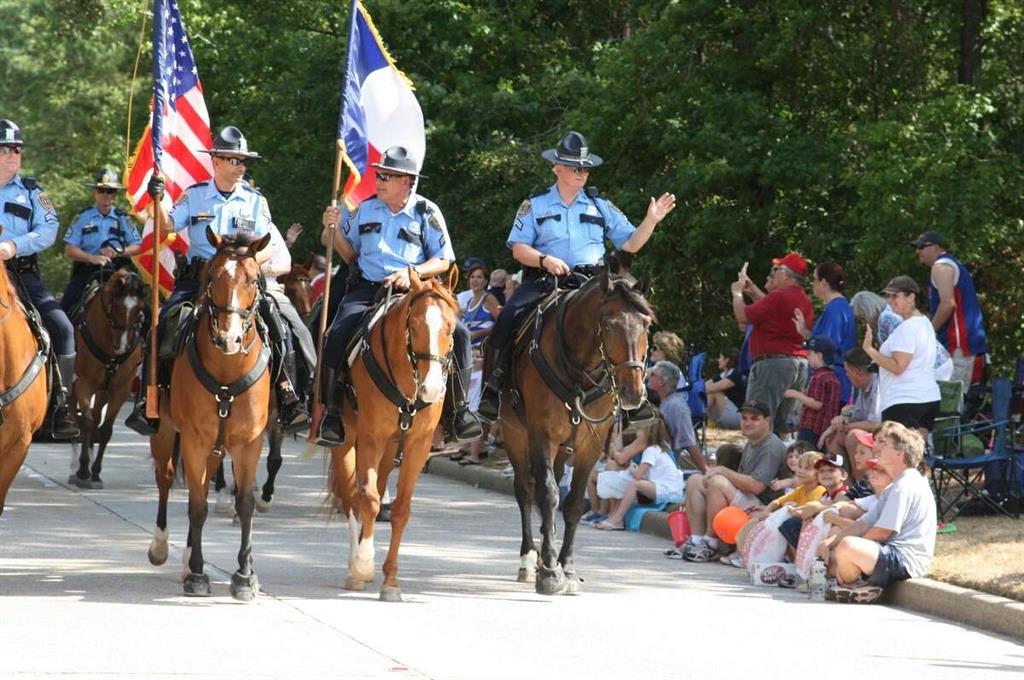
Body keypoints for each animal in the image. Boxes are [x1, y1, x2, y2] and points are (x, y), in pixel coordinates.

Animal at [69, 266, 146, 489]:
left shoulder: (121, 389)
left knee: (96, 418)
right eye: (116, 304)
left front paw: (95, 472)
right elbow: (85, 422)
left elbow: (105, 430)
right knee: (77, 416)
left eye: (139, 308)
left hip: (103, 391)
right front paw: (83, 470)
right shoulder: (84, 382)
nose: (121, 346)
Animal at [146, 229, 272, 602]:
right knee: (167, 479)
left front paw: (245, 576)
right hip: (165, 432)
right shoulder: (193, 440)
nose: (229, 338)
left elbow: (244, 503)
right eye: (214, 276)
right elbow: (197, 505)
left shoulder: (249, 443)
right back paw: (163, 548)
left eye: (253, 279)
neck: (228, 372)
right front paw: (198, 575)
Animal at [327, 266, 460, 602]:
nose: (432, 389)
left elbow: (399, 509)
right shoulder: (370, 438)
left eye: (451, 327)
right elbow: (369, 501)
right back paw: (354, 565)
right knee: (351, 497)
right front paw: (363, 564)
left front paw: (391, 581)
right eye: (414, 326)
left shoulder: (418, 445)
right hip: (347, 441)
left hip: (389, 450)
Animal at [497, 270, 655, 593]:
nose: (632, 392)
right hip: (515, 435)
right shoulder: (541, 436)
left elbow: (572, 503)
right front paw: (549, 572)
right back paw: (529, 560)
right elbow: (547, 495)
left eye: (646, 324)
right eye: (608, 324)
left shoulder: (589, 445)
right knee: (526, 490)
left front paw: (566, 567)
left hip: (562, 447)